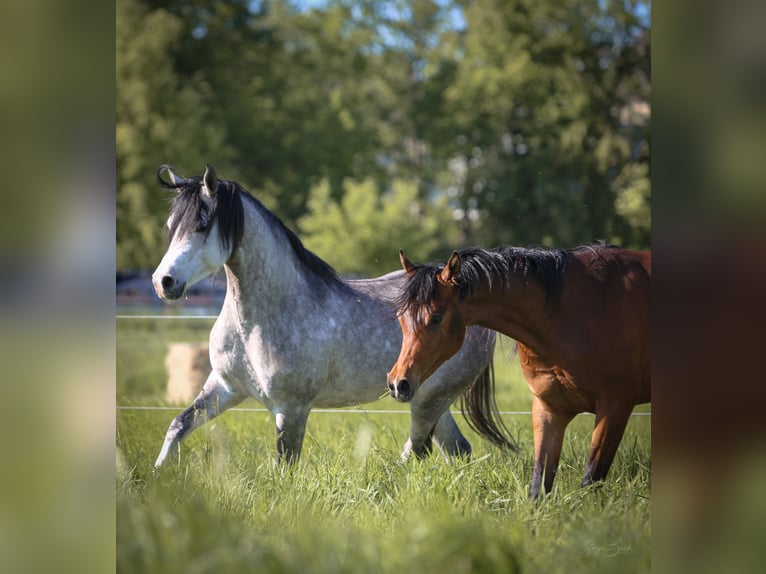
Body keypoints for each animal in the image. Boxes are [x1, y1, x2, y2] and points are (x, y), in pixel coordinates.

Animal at [151, 164, 516, 469]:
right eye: (170, 226)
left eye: (202, 225)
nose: (163, 282)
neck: (256, 322)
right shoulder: (224, 387)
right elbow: (177, 426)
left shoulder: (292, 409)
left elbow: (285, 465)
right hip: (427, 398)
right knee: (453, 448)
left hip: (428, 399)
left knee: (419, 449)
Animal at [387, 244, 650, 498]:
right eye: (401, 318)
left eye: (436, 318)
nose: (398, 383)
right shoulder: (549, 408)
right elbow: (538, 486)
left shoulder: (614, 407)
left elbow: (591, 480)